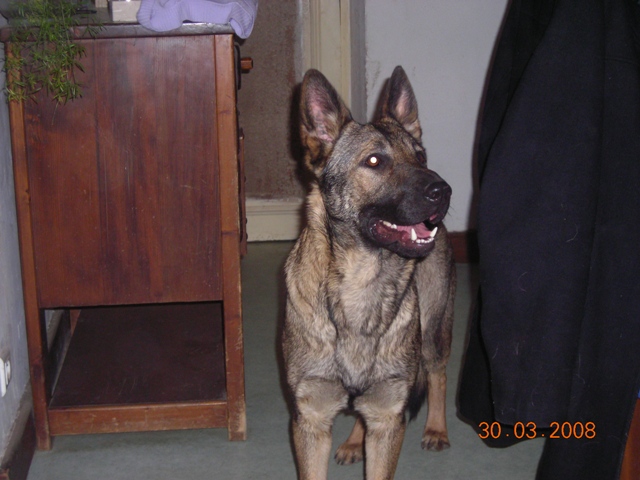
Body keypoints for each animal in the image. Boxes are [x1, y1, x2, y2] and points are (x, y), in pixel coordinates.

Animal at [283, 66, 456, 480]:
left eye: (420, 156)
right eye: (375, 161)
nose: (443, 191)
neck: (360, 286)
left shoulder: (388, 418)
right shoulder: (311, 420)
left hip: (435, 328)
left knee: (438, 374)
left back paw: (436, 429)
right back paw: (352, 442)